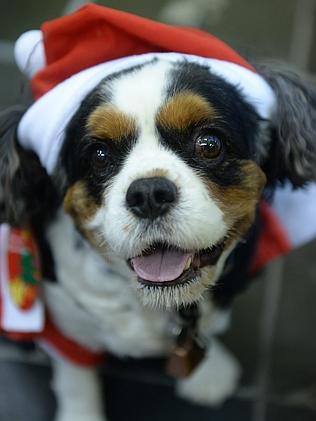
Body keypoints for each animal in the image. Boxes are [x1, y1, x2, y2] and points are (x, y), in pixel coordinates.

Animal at [0, 4, 316, 420]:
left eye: (209, 143)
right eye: (98, 155)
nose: (149, 194)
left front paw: (209, 373)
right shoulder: (63, 319)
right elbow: (75, 377)